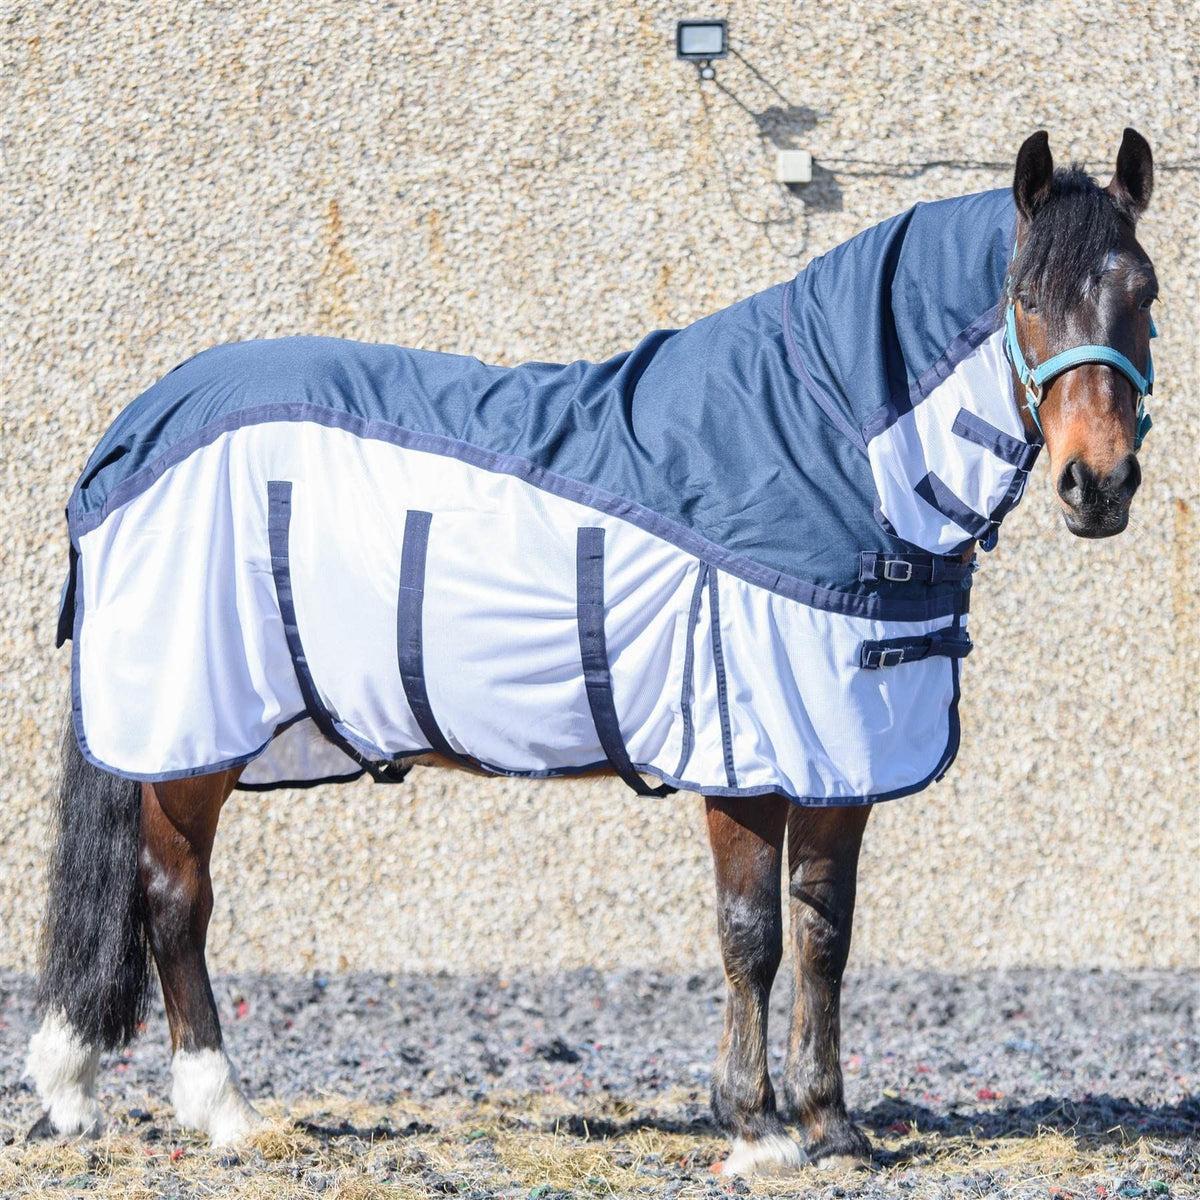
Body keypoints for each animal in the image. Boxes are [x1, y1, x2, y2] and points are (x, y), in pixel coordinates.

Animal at [25, 128, 1157, 1176]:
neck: (823, 446)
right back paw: (221, 1111)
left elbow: (824, 935)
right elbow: (751, 934)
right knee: (174, 902)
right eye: (1024, 297)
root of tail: (139, 426)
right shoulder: (745, 758)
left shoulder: (846, 754)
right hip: (190, 734)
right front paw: (754, 1128)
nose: (1096, 486)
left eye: (1144, 292)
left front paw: (830, 1125)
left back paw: (80, 1098)